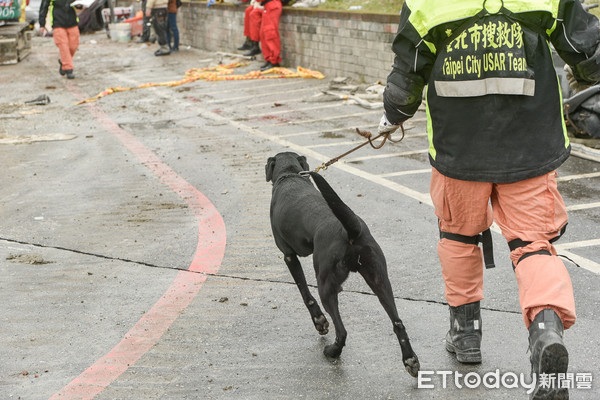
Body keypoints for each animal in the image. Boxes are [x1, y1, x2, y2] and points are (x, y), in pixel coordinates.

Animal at [264, 152, 420, 376]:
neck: (290, 175)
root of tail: (351, 230)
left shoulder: (288, 255)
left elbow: (305, 294)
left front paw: (319, 321)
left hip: (326, 284)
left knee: (342, 330)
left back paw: (332, 351)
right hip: (379, 279)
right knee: (397, 322)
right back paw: (410, 360)